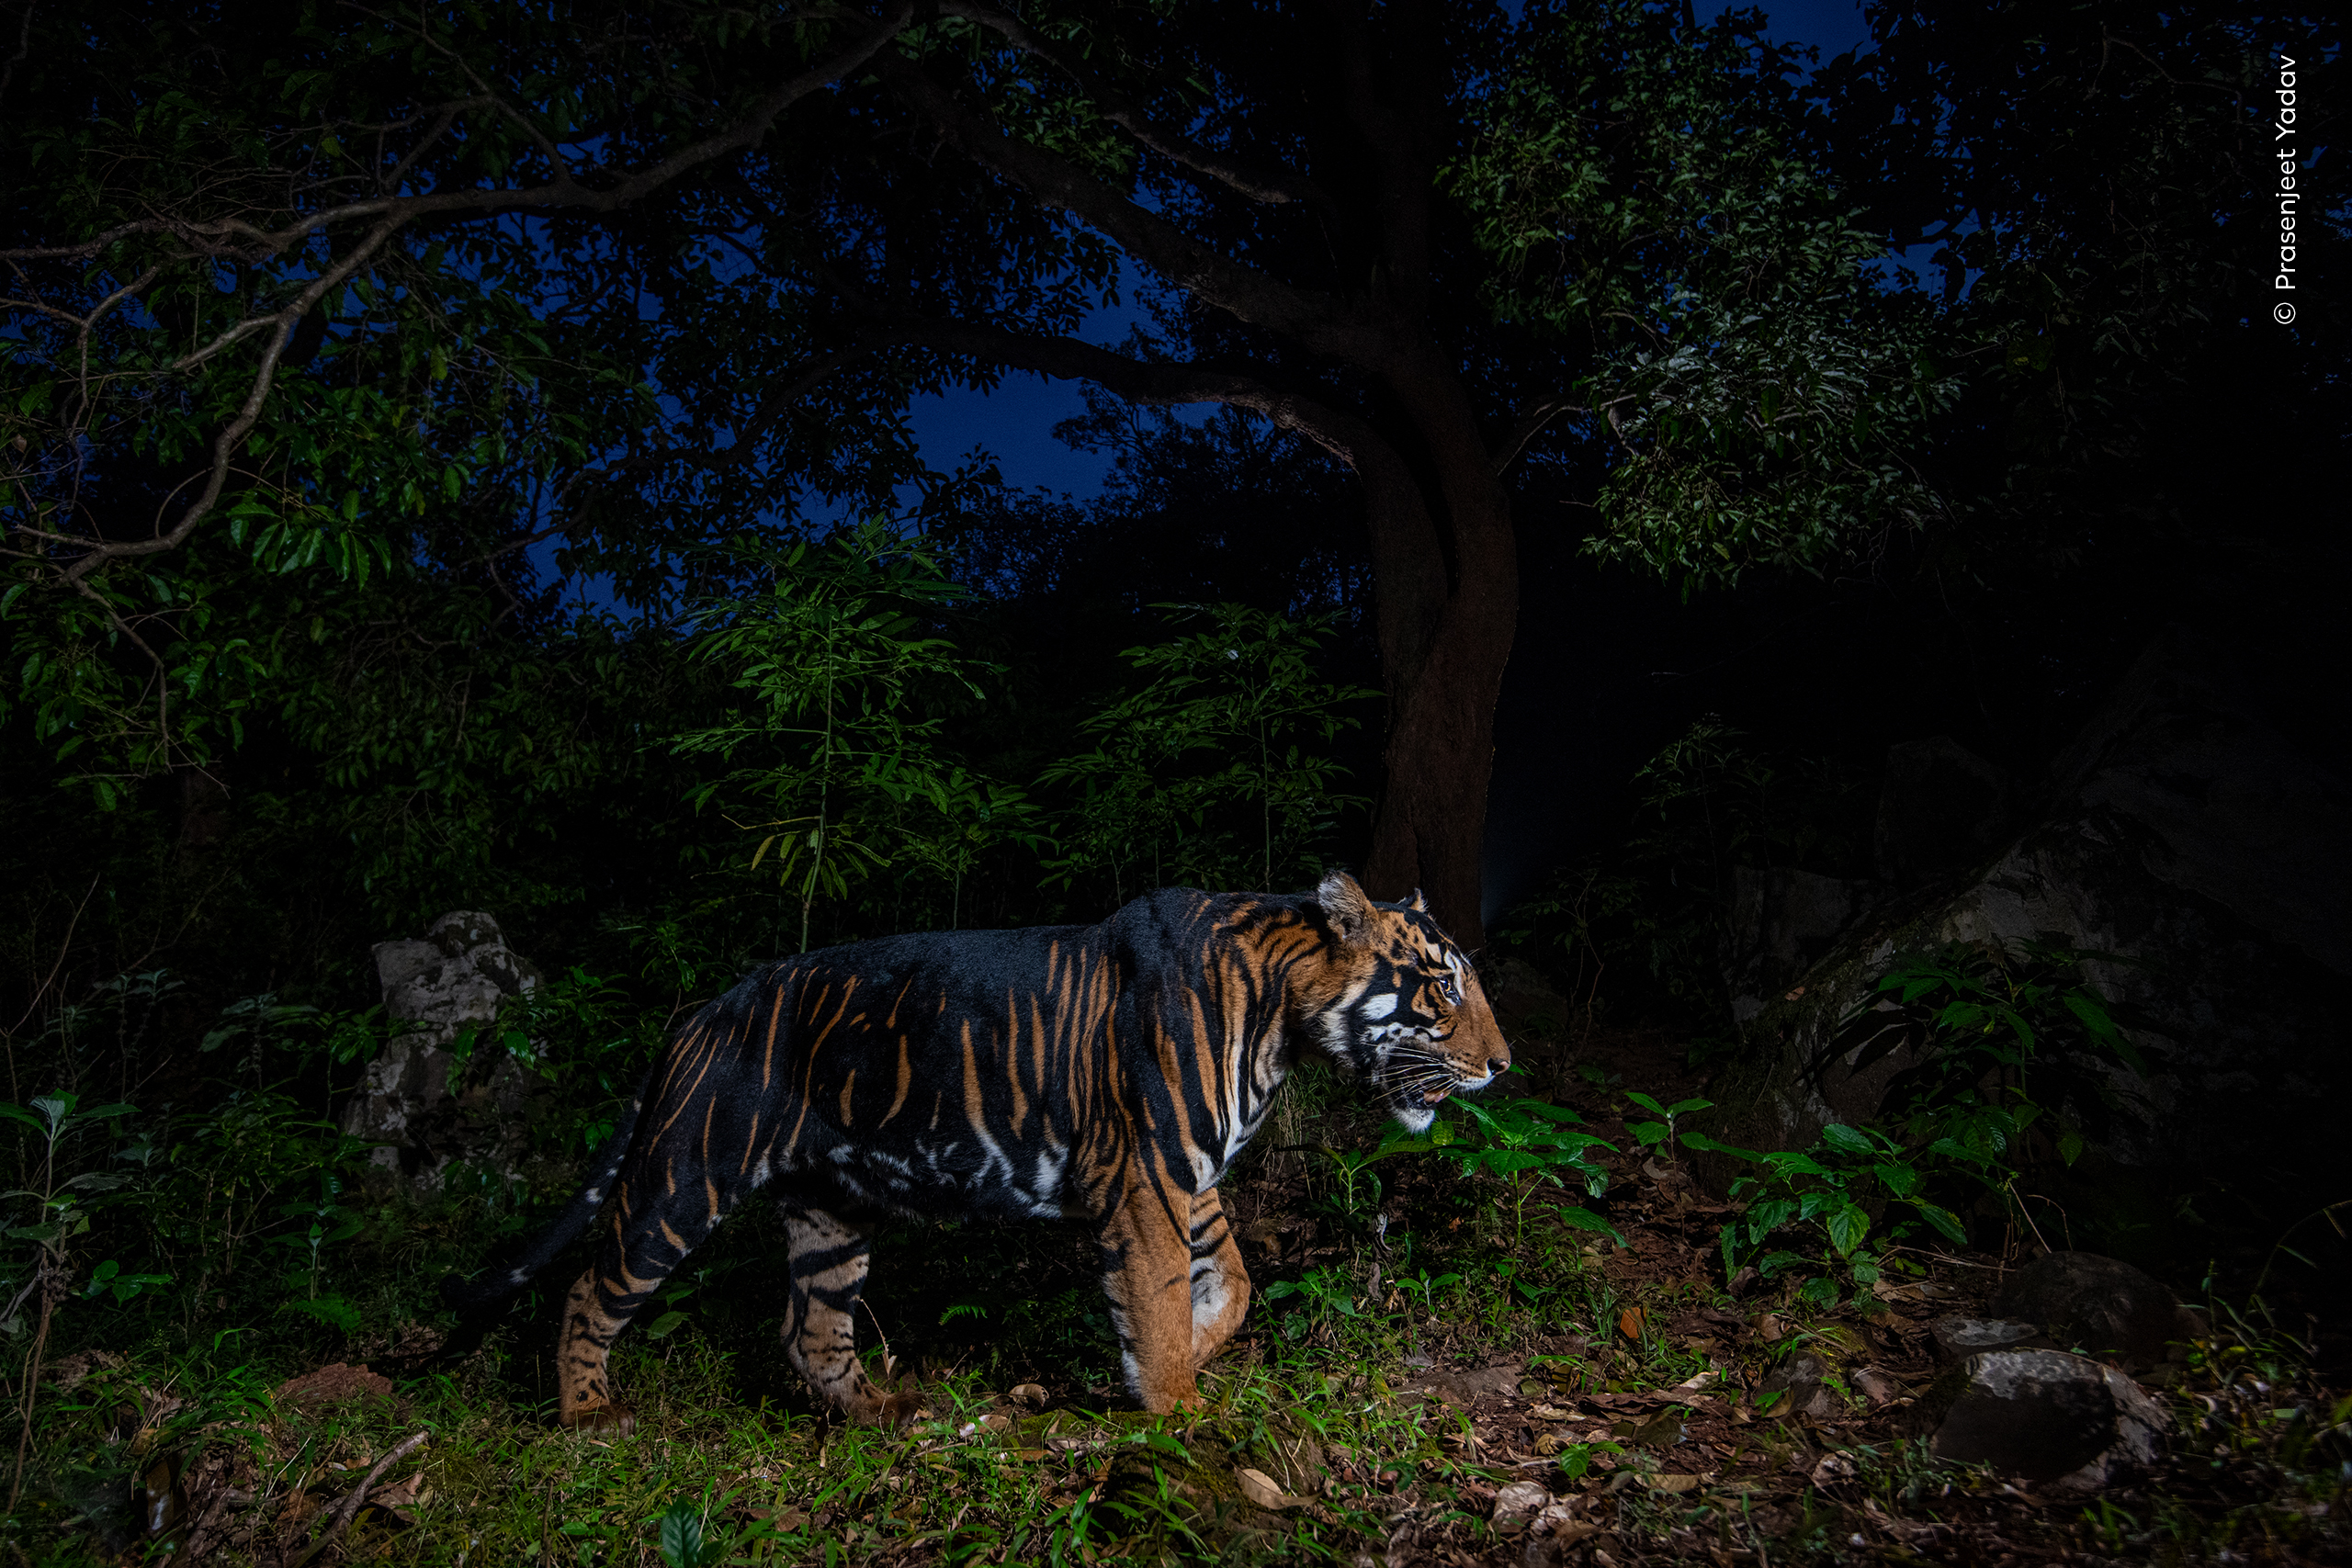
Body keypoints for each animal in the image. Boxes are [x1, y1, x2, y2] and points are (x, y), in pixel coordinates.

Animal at [442, 870, 1509, 1430]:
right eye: (1443, 987)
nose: (1503, 1066)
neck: (1283, 1022)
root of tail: (704, 1009)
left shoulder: (1184, 1173)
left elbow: (1234, 1282)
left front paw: (1197, 1352)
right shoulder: (1148, 1175)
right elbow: (1160, 1297)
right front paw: (1175, 1405)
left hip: (832, 1212)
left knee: (810, 1330)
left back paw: (883, 1412)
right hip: (682, 1176)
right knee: (592, 1286)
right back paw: (586, 1415)